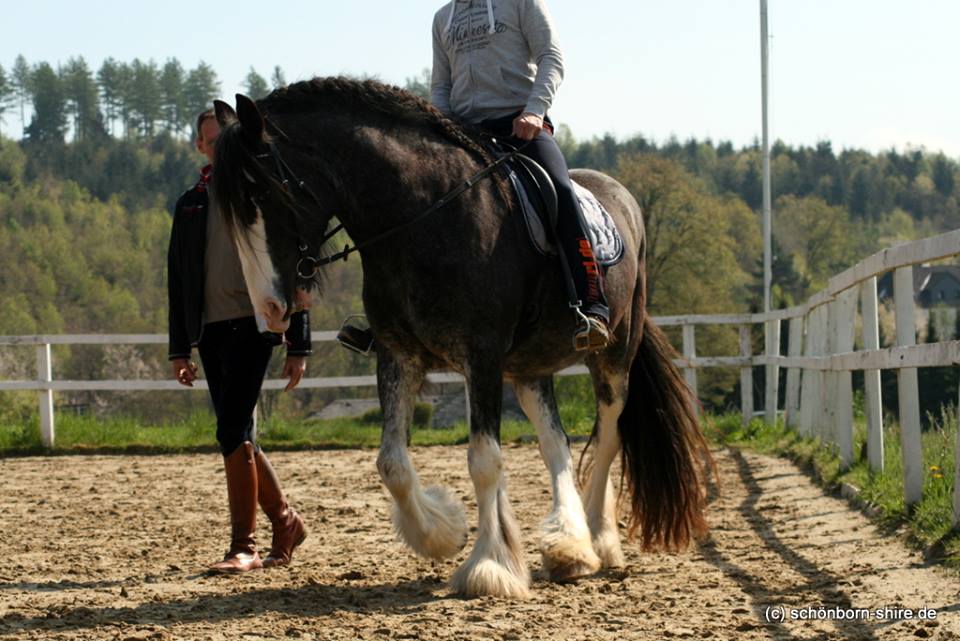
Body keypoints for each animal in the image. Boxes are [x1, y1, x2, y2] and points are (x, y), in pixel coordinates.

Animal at [214, 77, 712, 596]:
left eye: (263, 192)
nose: (269, 310)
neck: (424, 215)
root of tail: (622, 196)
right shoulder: (399, 355)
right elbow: (392, 464)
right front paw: (442, 533)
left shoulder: (483, 355)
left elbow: (484, 460)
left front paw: (489, 566)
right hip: (530, 367)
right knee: (554, 442)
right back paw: (569, 549)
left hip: (614, 356)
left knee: (610, 434)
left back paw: (599, 540)